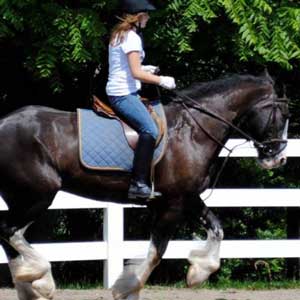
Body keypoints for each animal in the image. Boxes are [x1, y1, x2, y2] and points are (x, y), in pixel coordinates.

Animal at [0, 73, 288, 300]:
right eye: (282, 115)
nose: (278, 158)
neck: (192, 130)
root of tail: (4, 123)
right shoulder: (172, 204)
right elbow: (156, 252)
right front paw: (127, 289)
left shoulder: (187, 198)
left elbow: (217, 229)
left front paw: (198, 272)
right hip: (38, 195)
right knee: (9, 231)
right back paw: (41, 281)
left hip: (22, 197)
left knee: (9, 236)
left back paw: (29, 287)